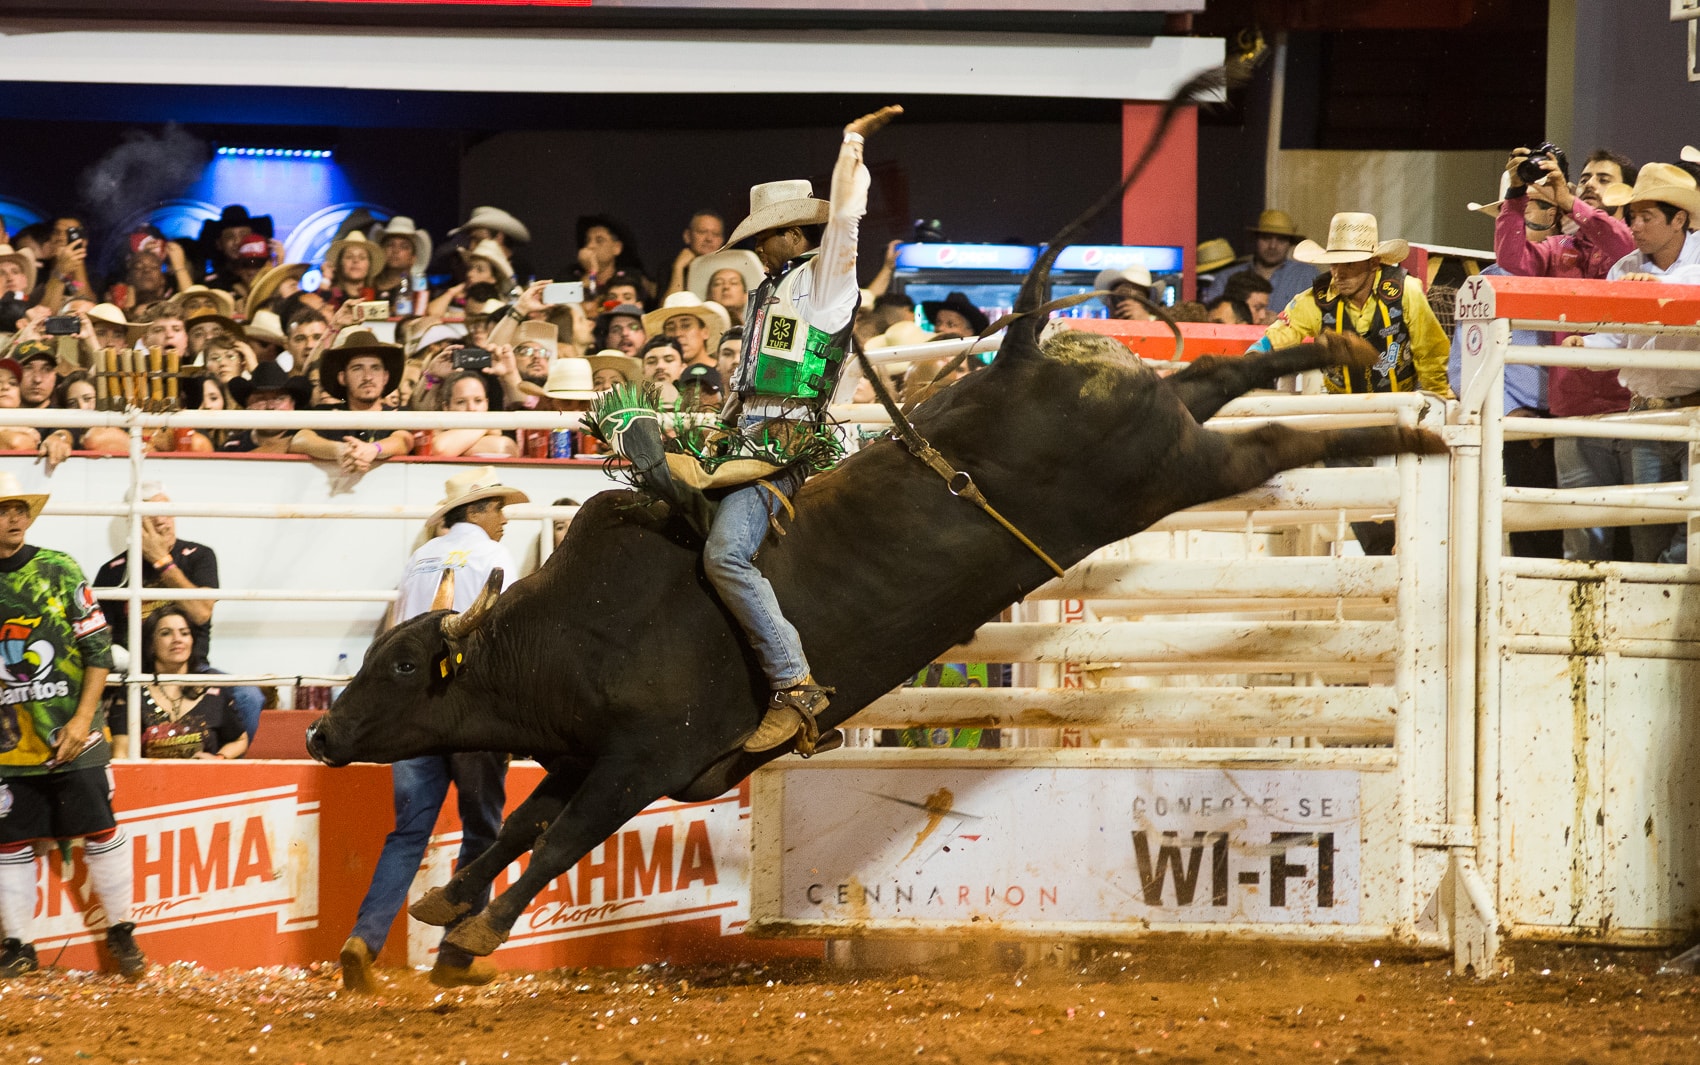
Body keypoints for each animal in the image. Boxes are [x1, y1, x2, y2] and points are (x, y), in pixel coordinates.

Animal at [309, 285, 1448, 952]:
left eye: (401, 670)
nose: (320, 730)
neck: (568, 637)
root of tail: (1022, 356)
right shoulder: (583, 756)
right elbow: (519, 828)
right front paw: (445, 902)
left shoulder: (638, 763)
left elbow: (558, 843)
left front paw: (469, 940)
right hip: (1166, 430)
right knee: (1221, 376)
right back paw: (1340, 353)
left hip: (1168, 471)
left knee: (1272, 444)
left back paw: (1413, 432)